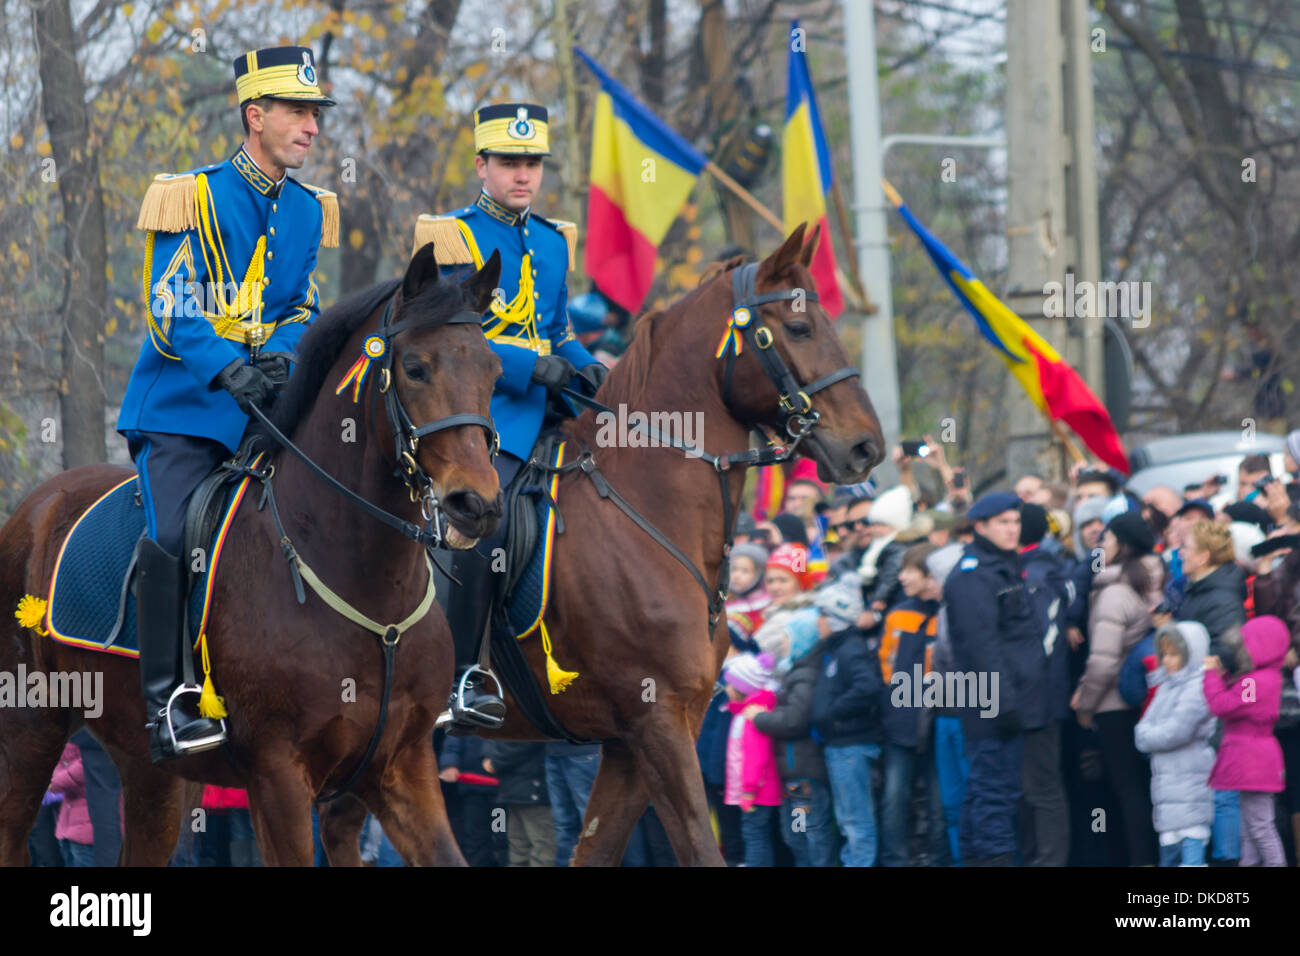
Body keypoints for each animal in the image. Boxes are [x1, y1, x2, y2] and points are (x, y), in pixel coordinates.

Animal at [0, 244, 501, 868]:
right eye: (415, 367)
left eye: (494, 371)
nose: (476, 504)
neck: (366, 586)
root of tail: (38, 503)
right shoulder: (278, 777)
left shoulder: (402, 767)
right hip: (29, 732)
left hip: (150, 771)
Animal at [325, 223, 883, 868]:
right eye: (798, 329)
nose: (867, 447)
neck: (645, 506)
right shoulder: (657, 720)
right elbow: (699, 845)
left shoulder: (641, 737)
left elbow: (597, 848)